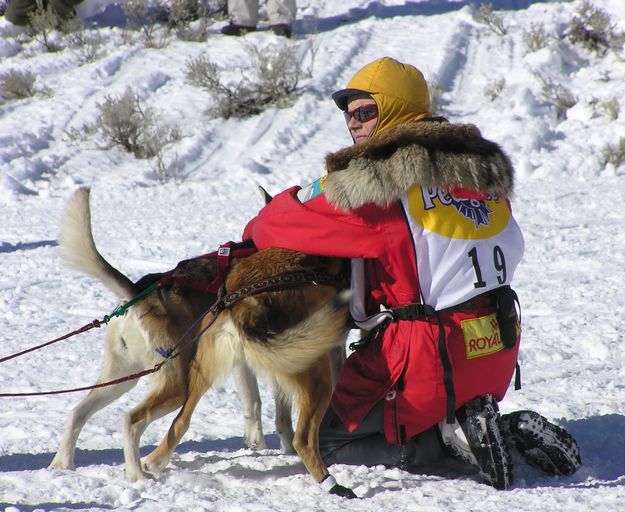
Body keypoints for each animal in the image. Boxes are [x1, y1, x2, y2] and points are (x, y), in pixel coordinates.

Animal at [48, 188, 352, 496]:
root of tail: (139, 291)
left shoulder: (247, 361)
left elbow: (259, 405)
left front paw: (266, 444)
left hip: (122, 377)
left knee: (77, 412)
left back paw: (62, 463)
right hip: (176, 383)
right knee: (131, 420)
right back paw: (137, 475)